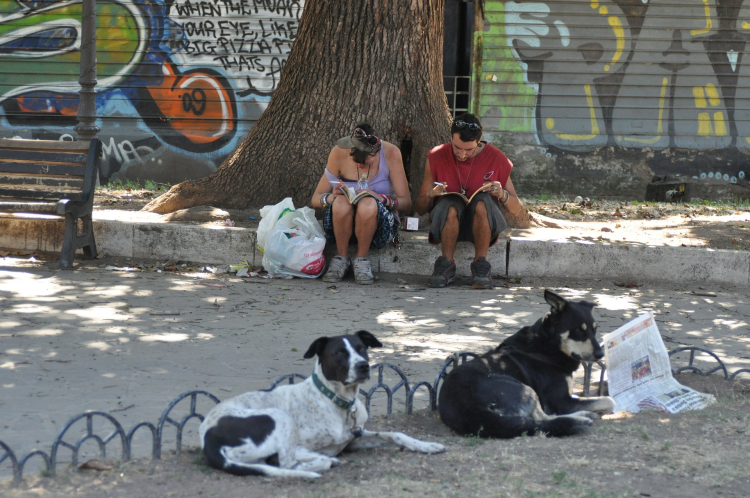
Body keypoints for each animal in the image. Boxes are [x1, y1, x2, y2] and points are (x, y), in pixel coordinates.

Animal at [200, 330, 446, 478]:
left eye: (362, 348)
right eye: (339, 353)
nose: (364, 366)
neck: (338, 401)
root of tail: (209, 437)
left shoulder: (354, 439)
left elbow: (394, 434)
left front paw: (426, 445)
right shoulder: (301, 445)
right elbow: (297, 458)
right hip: (280, 418)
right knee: (287, 463)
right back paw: (326, 461)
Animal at [440, 290, 616, 438]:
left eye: (595, 329)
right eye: (579, 330)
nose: (600, 354)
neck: (546, 346)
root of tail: (468, 409)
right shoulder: (560, 401)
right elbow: (608, 400)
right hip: (525, 389)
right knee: (541, 420)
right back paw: (582, 417)